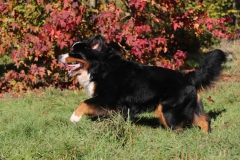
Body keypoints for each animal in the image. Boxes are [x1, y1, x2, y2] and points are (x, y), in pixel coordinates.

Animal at [58, 34, 227, 132]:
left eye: (73, 52)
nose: (59, 56)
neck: (100, 66)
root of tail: (188, 77)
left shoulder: (107, 98)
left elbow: (84, 102)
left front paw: (74, 117)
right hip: (186, 108)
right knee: (205, 120)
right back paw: (205, 137)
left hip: (169, 111)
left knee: (179, 129)